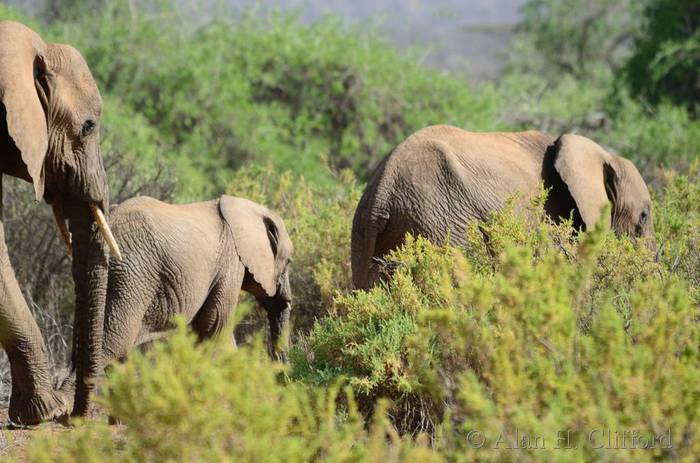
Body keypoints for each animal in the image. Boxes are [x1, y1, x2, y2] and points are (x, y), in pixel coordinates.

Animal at [89, 195, 293, 378]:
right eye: (289, 261)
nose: (282, 377)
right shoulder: (230, 263)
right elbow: (215, 326)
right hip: (132, 274)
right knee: (115, 344)